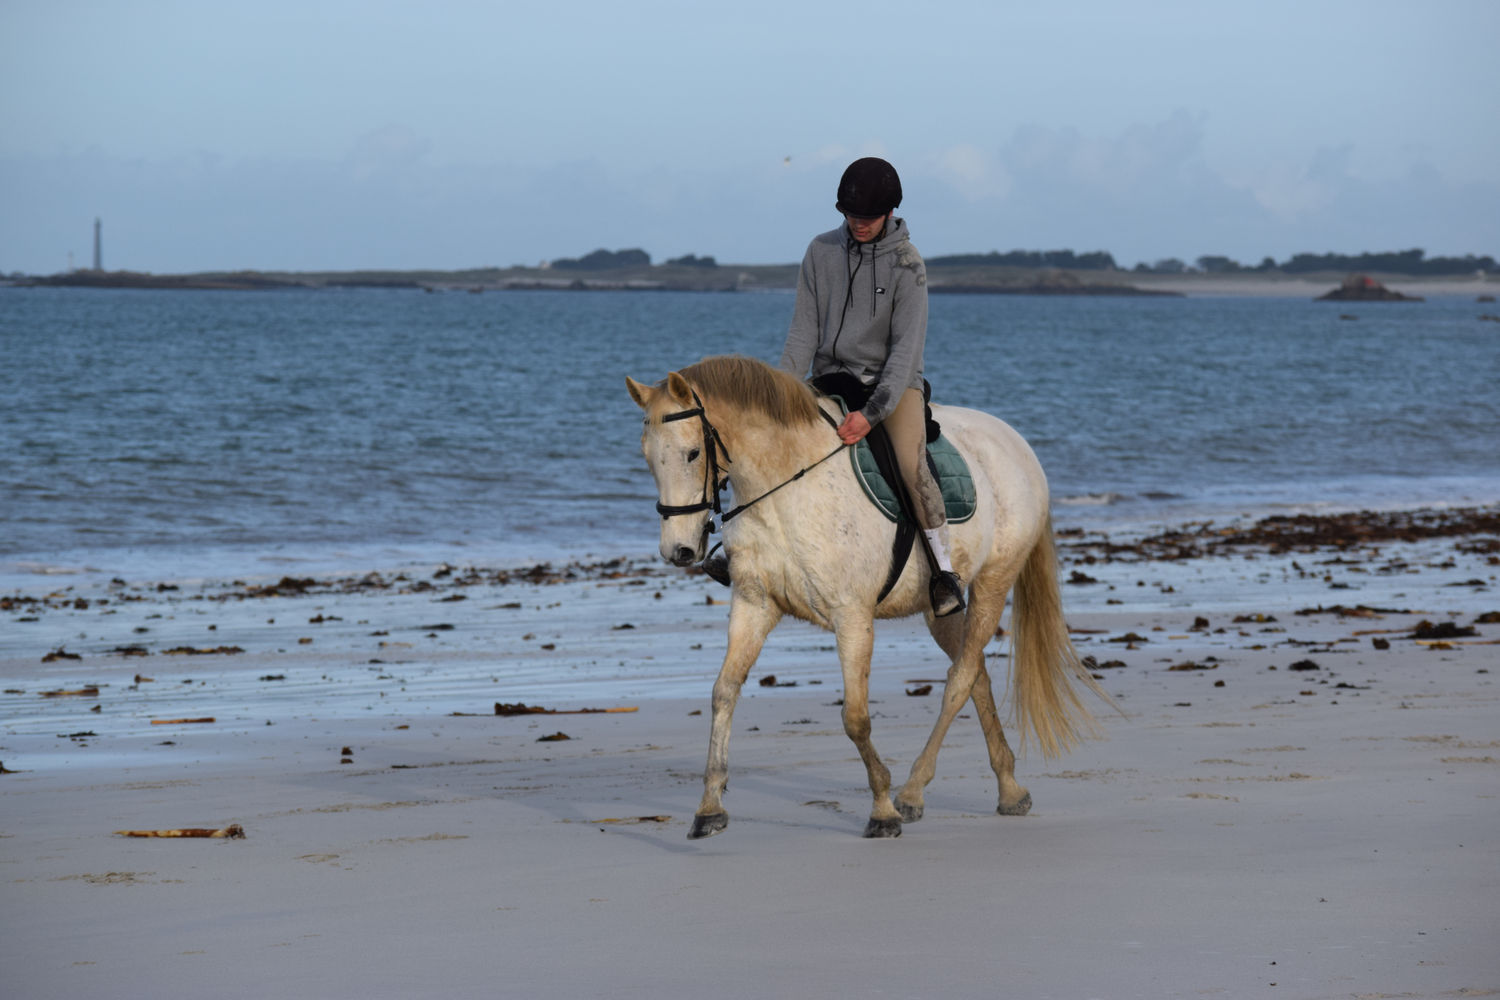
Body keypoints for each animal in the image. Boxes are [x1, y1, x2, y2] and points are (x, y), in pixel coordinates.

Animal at [627, 355, 1110, 839]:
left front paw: (882, 809)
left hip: (994, 580)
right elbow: (723, 693)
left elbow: (855, 717)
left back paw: (912, 793)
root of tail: (1016, 443)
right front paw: (709, 808)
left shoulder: (852, 617)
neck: (786, 485)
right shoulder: (754, 605)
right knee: (976, 676)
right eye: (647, 456)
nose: (678, 551)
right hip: (941, 610)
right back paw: (1009, 789)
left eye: (692, 453)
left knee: (959, 680)